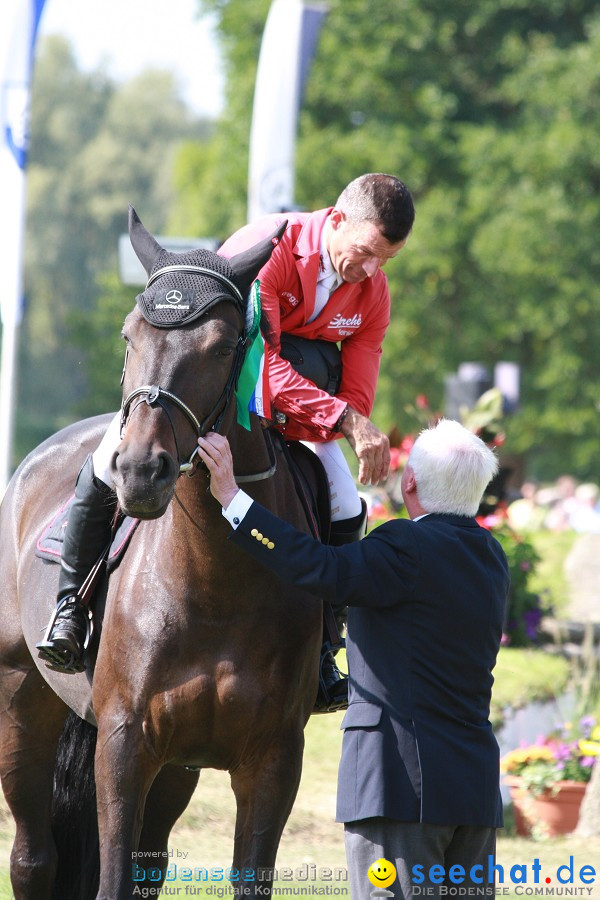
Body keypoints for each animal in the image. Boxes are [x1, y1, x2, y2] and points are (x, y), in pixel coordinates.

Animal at [0, 209, 324, 892]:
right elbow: (111, 877)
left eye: (224, 347)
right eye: (130, 335)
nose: (141, 471)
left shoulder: (274, 759)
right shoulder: (124, 745)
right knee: (33, 856)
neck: (215, 585)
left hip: (179, 767)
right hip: (21, 698)